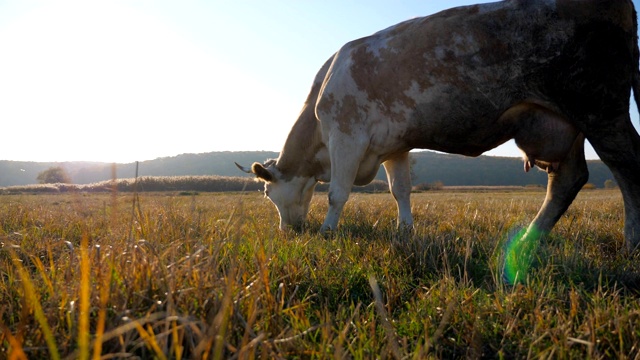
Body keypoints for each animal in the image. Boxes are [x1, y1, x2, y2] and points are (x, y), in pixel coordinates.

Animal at [238, 0, 640, 250]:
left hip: (600, 108)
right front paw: (405, 231)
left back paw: (631, 242)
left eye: (268, 194)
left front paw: (326, 232)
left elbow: (338, 192)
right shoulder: (394, 147)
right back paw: (529, 239)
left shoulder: (346, 135)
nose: (287, 232)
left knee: (627, 168)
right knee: (568, 179)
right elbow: (400, 190)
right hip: (560, 123)